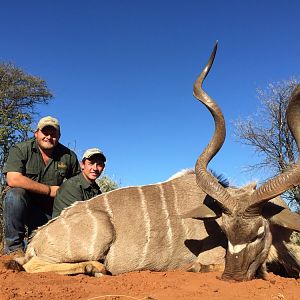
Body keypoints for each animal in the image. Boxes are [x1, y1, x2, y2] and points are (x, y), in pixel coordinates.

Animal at [6, 42, 300, 282]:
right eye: (225, 231)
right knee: (32, 265)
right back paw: (95, 268)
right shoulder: (211, 259)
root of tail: (38, 237)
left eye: (258, 232)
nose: (233, 276)